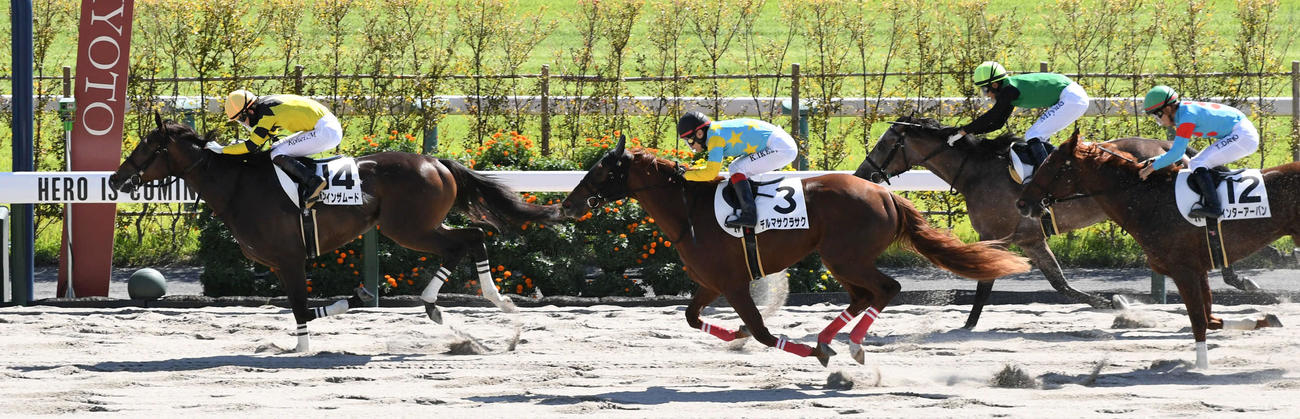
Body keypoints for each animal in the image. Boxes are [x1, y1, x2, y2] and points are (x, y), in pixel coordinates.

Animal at [108, 114, 563, 352]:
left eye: (147, 146)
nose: (115, 179)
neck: (237, 185)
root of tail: (436, 162)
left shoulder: (289, 258)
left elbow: (300, 308)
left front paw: (301, 347)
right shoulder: (280, 263)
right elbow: (304, 308)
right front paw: (356, 297)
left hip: (408, 227)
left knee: (469, 240)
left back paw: (489, 304)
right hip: (420, 225)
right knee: (466, 241)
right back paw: (451, 308)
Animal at [559, 135, 1031, 366]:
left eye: (599, 171)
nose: (568, 204)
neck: (688, 210)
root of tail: (885, 194)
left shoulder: (734, 284)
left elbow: (764, 333)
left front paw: (799, 350)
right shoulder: (712, 283)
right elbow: (693, 318)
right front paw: (736, 336)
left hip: (845, 256)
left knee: (886, 290)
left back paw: (847, 344)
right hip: (838, 259)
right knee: (863, 296)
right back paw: (828, 338)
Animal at [853, 116, 1256, 329]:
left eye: (884, 144)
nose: (862, 175)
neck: (976, 172)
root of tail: (1166, 148)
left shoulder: (997, 235)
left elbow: (985, 282)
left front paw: (968, 323)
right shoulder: (1031, 239)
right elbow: (1060, 283)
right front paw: (1110, 302)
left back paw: (1236, 278)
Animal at [1016, 132, 1292, 368]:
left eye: (1053, 165)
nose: (1022, 202)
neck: (1150, 197)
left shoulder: (1184, 269)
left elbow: (1200, 320)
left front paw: (1201, 367)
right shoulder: (1197, 269)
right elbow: (1210, 320)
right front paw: (1265, 320)